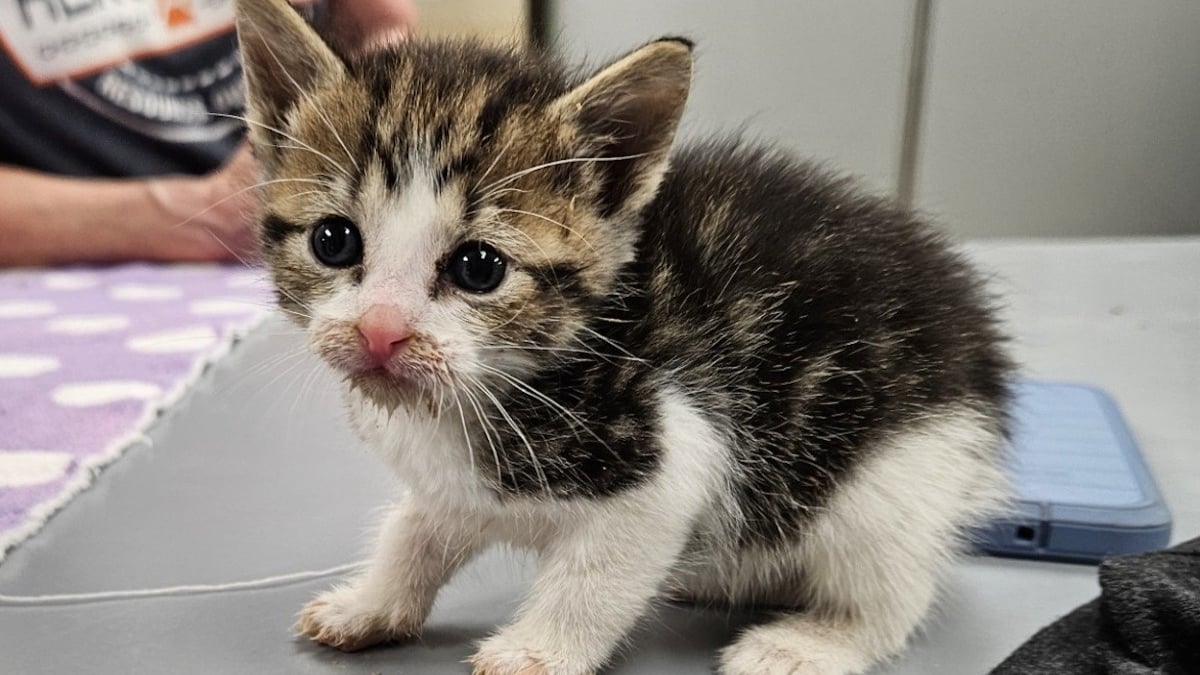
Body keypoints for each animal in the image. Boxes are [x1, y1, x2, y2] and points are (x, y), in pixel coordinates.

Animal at [234, 2, 1012, 667]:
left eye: (479, 266)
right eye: (334, 240)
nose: (380, 331)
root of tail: (980, 347)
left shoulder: (668, 449)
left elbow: (599, 571)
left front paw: (539, 650)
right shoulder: (455, 483)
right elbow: (417, 527)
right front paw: (371, 601)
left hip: (894, 476)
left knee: (890, 585)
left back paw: (815, 639)